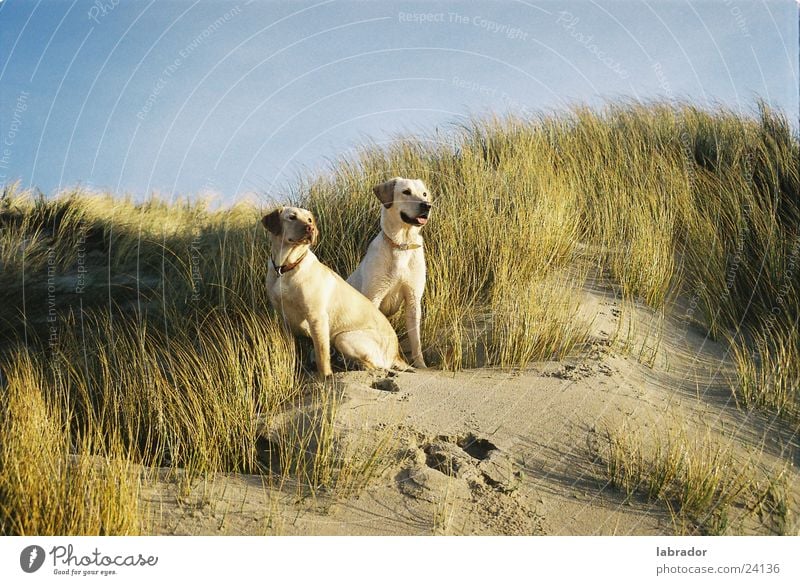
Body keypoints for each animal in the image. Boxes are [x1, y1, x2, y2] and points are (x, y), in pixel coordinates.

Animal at [262, 205, 410, 378]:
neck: (286, 268)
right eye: (292, 217)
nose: (311, 228)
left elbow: (321, 354)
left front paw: (325, 376)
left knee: (375, 367)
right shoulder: (284, 318)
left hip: (343, 337)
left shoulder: (317, 318)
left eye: (309, 220)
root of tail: (396, 353)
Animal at [346, 176, 432, 368]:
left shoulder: (413, 299)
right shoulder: (374, 296)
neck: (402, 245)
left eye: (424, 193)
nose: (427, 205)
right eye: (406, 192)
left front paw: (420, 365)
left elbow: (416, 340)